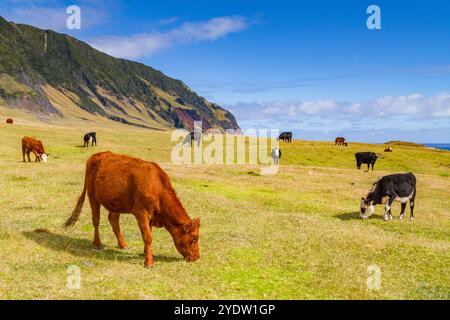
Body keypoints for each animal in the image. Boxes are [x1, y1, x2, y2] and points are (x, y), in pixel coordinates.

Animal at [64, 152, 200, 268]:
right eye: (194, 238)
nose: (196, 257)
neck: (157, 187)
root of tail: (96, 155)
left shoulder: (151, 216)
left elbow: (149, 233)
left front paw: (146, 253)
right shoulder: (141, 212)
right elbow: (148, 236)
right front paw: (149, 262)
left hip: (116, 202)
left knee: (113, 220)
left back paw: (123, 245)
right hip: (92, 196)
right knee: (96, 220)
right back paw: (97, 244)